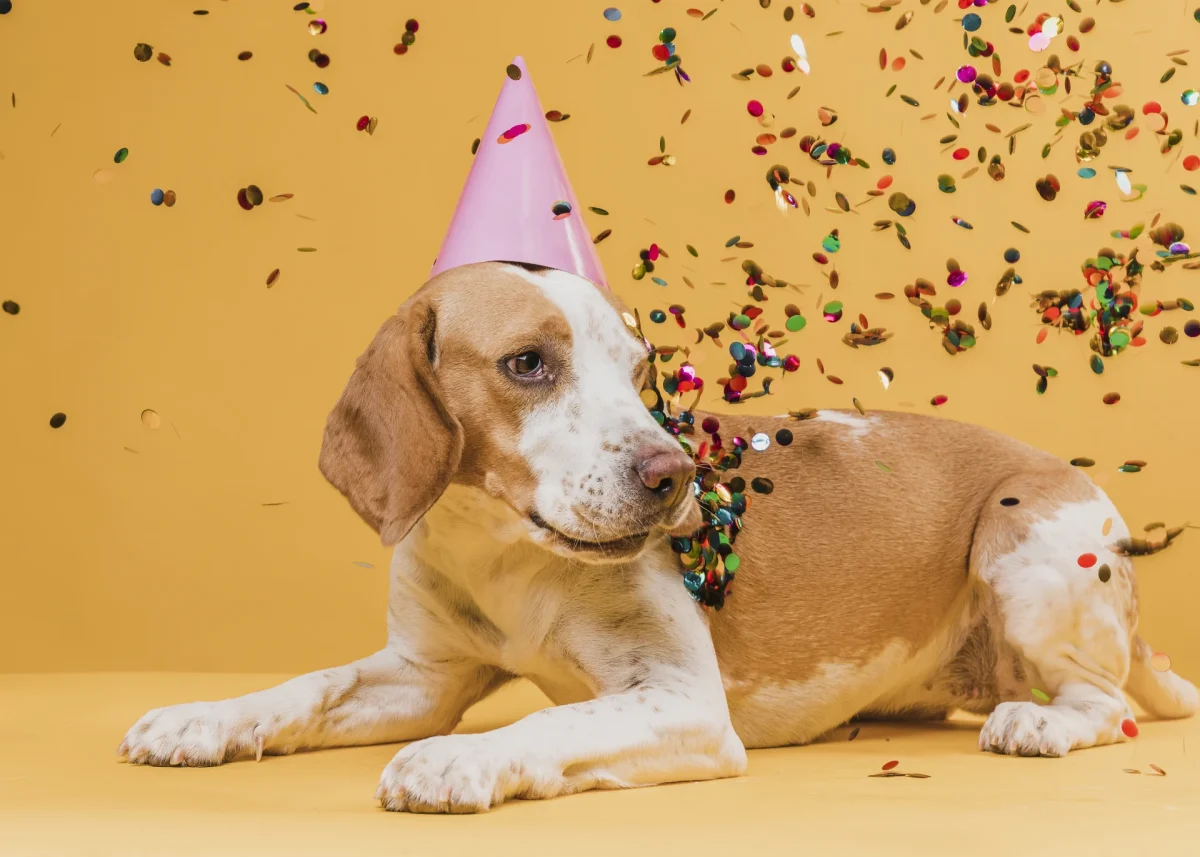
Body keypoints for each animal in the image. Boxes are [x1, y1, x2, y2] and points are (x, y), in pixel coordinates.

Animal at [119, 261, 1198, 813]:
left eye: (642, 372)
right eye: (528, 363)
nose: (672, 475)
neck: (506, 552)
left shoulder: (679, 702)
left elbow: (546, 724)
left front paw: (458, 760)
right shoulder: (417, 676)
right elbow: (301, 688)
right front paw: (200, 718)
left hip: (1024, 545)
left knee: (1104, 702)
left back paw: (1042, 720)